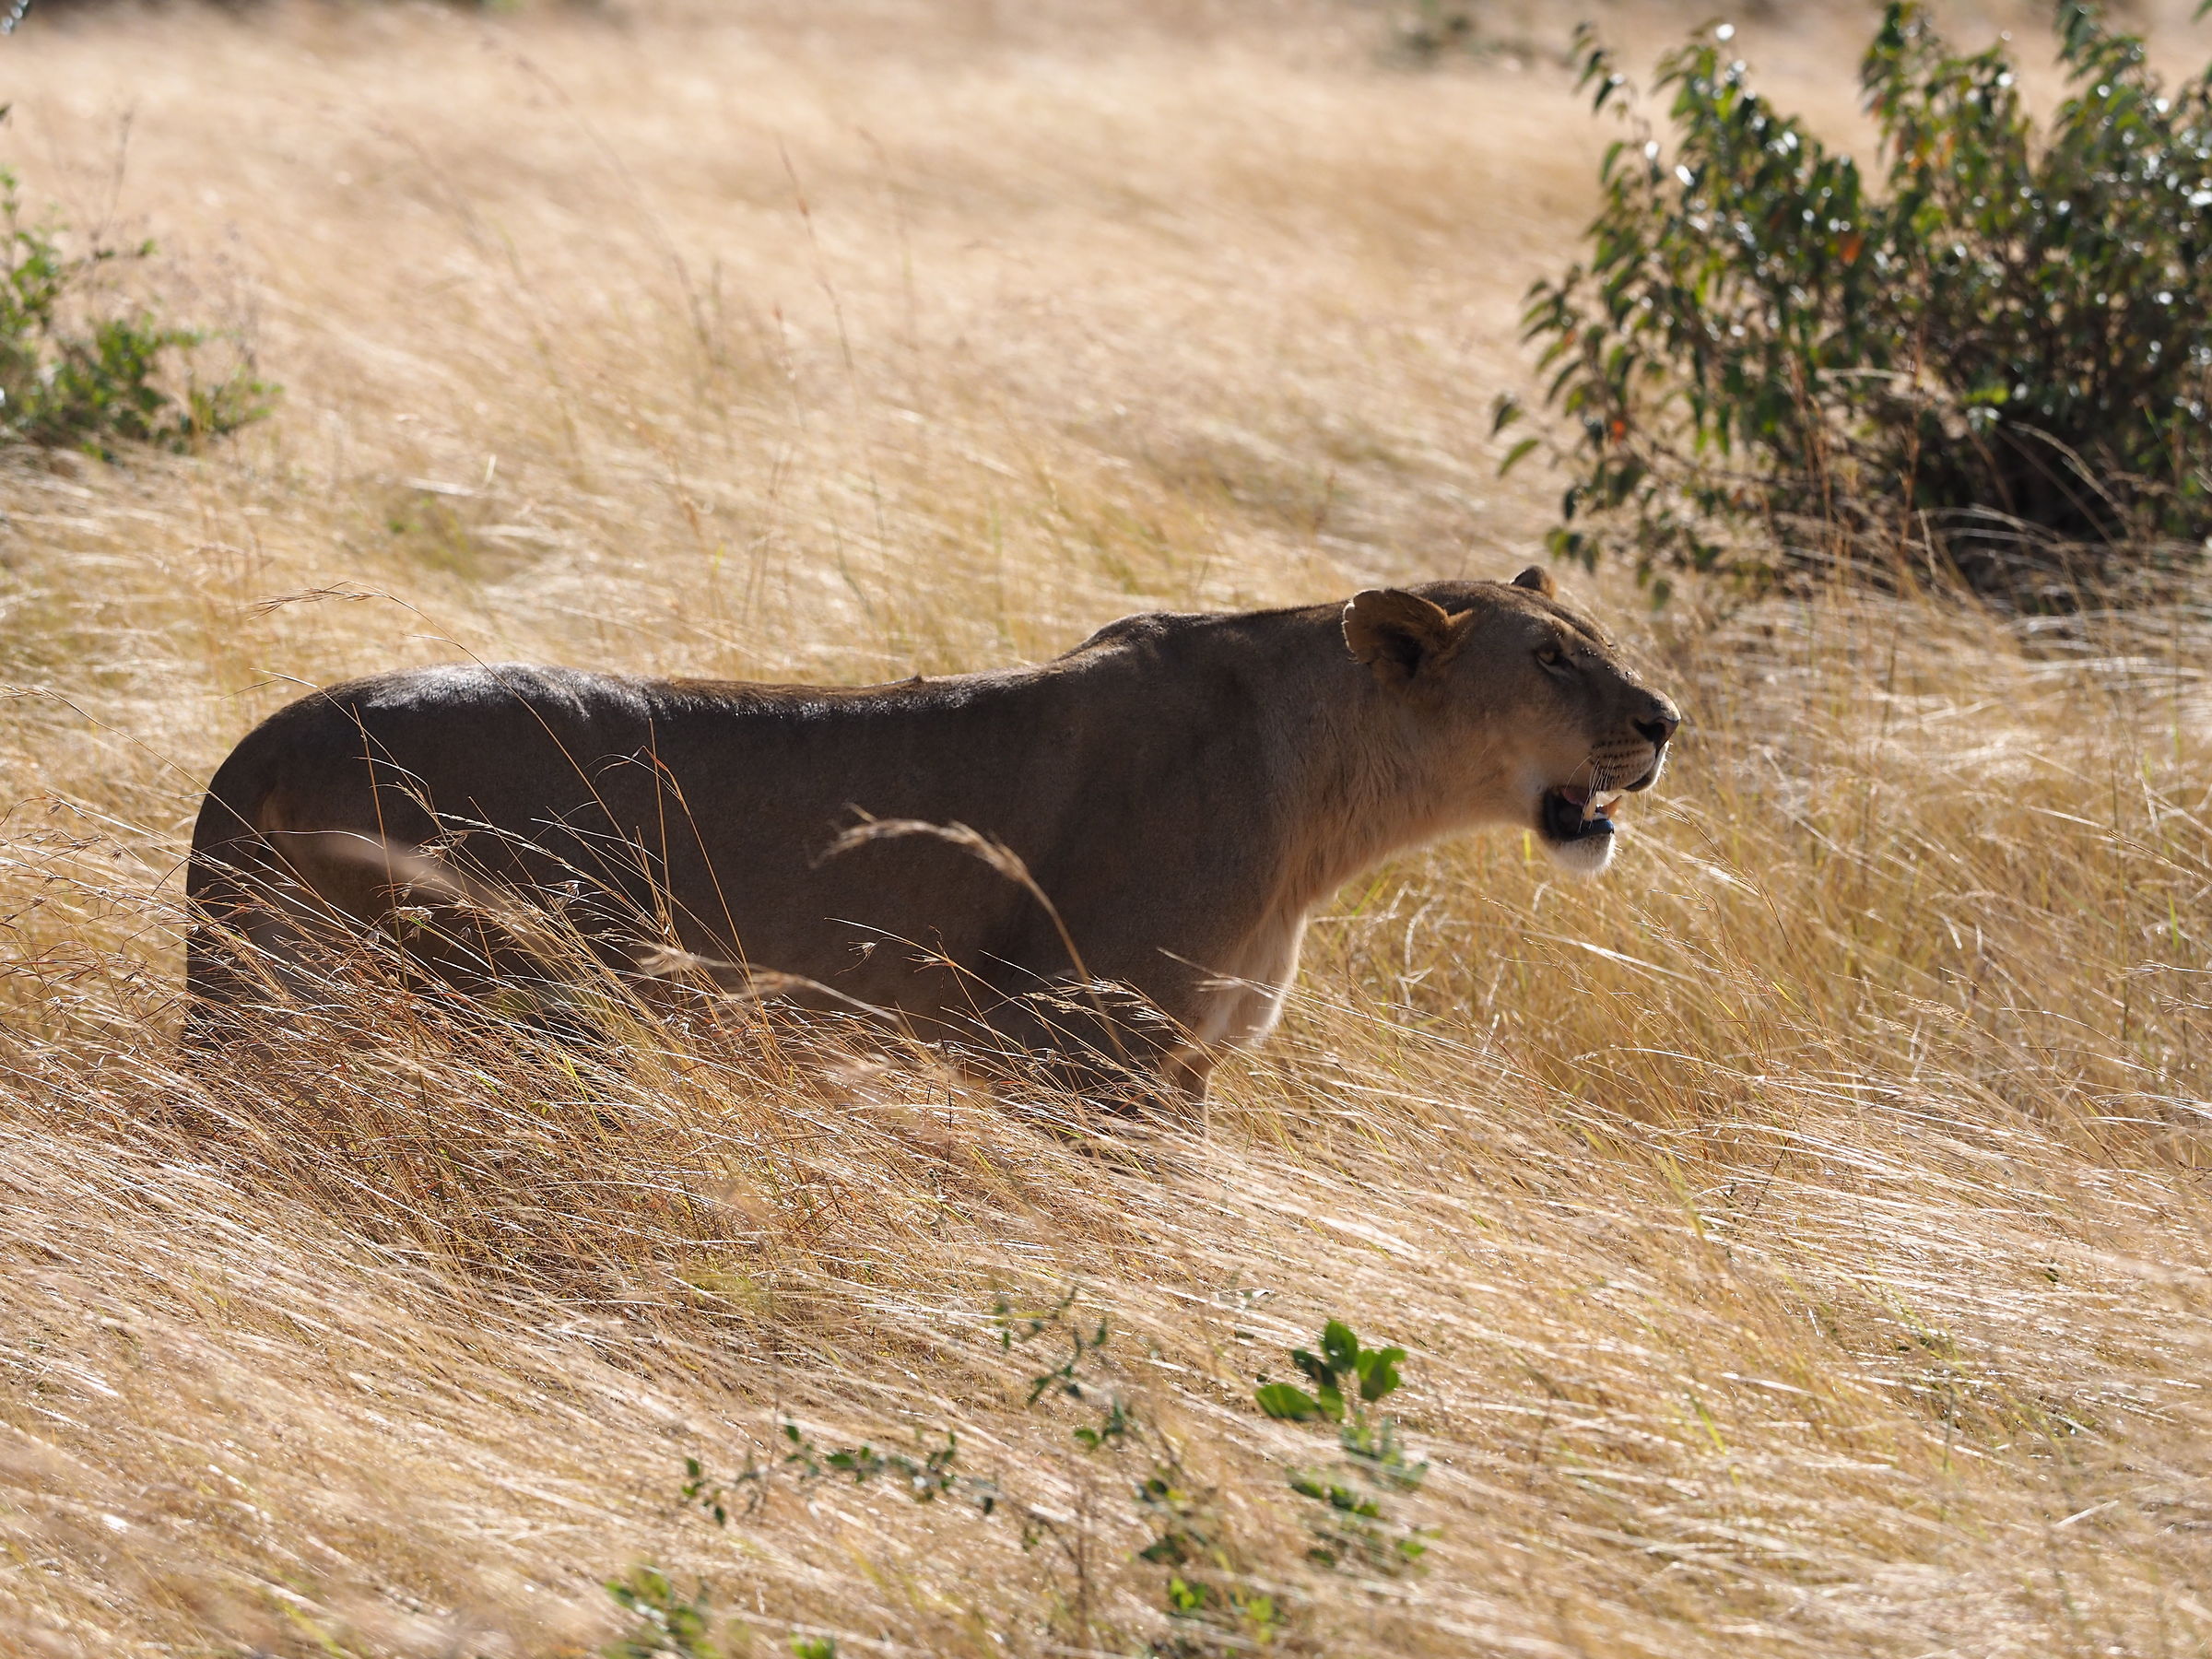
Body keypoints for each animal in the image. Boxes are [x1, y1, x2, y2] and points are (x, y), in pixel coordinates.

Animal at [182, 567, 1679, 1100]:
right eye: (1552, 659)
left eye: (1594, 639)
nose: (1666, 718)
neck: (1327, 807)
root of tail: (260, 744)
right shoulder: (1078, 1049)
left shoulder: (1184, 1066)